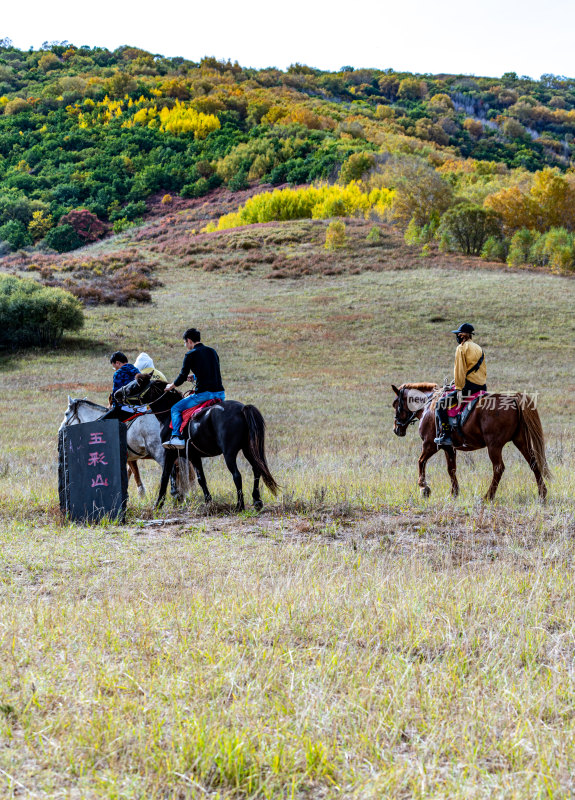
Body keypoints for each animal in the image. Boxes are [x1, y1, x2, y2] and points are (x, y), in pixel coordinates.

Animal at [58, 398, 194, 504]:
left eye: (66, 413)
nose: (61, 430)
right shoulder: (130, 458)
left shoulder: (129, 458)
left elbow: (133, 474)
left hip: (159, 453)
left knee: (172, 470)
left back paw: (176, 494)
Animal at [394, 382, 552, 500]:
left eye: (395, 404)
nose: (396, 429)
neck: (428, 407)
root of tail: (513, 399)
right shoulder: (448, 448)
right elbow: (451, 469)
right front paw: (454, 493)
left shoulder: (430, 444)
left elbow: (421, 462)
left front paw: (424, 488)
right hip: (521, 441)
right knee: (533, 463)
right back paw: (542, 494)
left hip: (494, 446)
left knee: (498, 468)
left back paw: (488, 496)